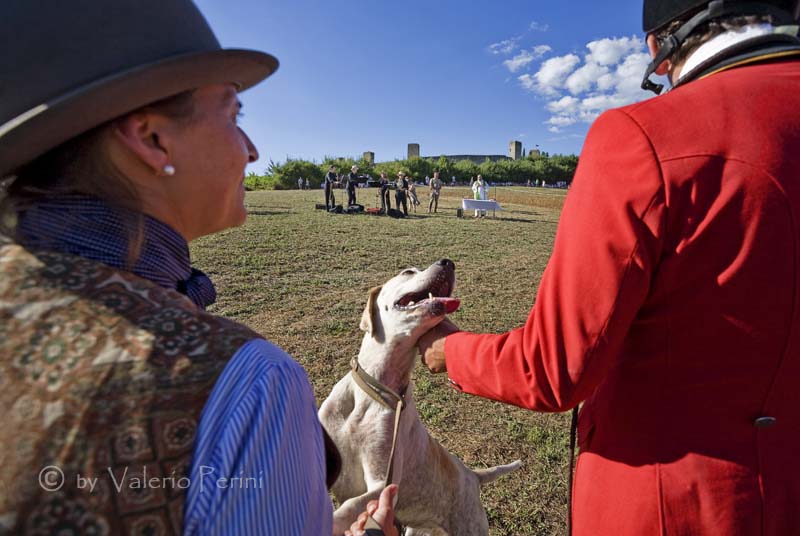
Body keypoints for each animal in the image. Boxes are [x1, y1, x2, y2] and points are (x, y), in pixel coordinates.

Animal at [316, 258, 520, 532]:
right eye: (407, 272)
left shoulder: (383, 482)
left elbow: (348, 507)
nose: (448, 262)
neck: (374, 389)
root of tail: (473, 475)